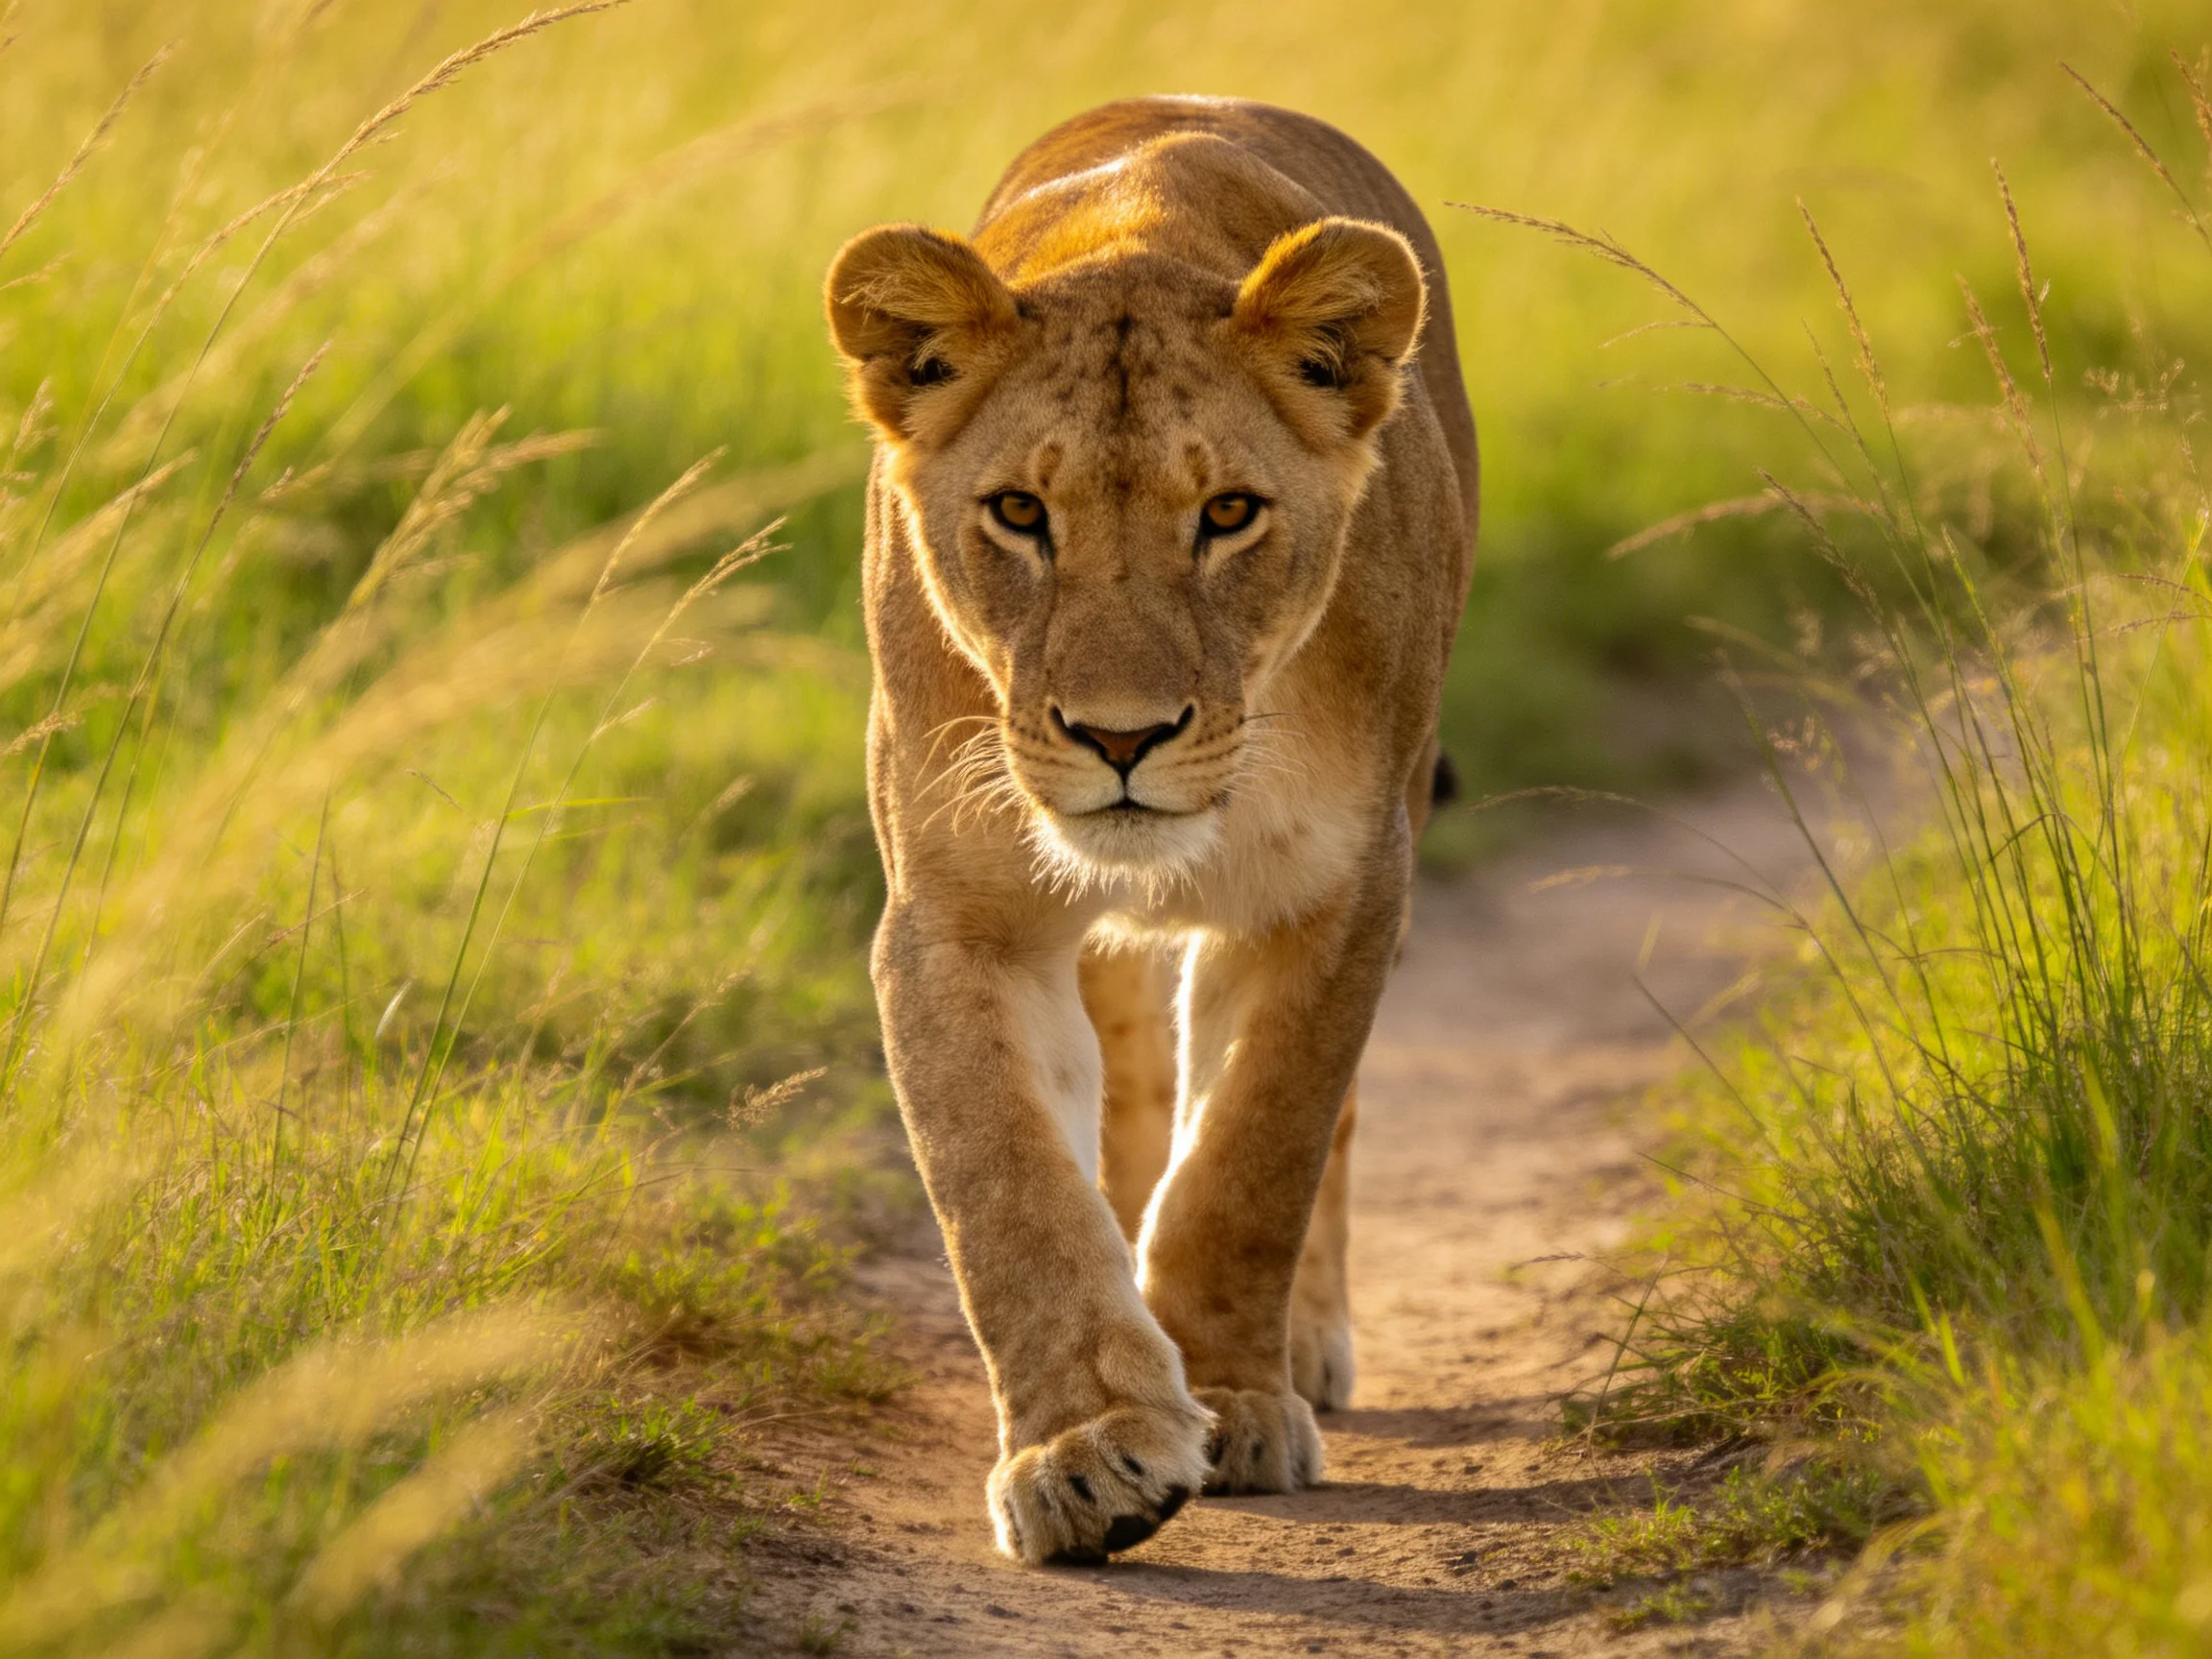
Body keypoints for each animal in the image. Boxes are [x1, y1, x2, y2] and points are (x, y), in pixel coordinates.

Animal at [823, 95, 1477, 1565]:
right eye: (1020, 512)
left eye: (1227, 513)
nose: (1121, 739)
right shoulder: (956, 918)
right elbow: (1008, 1186)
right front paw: (1088, 1448)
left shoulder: (1338, 895)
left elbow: (1254, 1155)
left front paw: (1233, 1400)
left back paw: (1303, 1347)